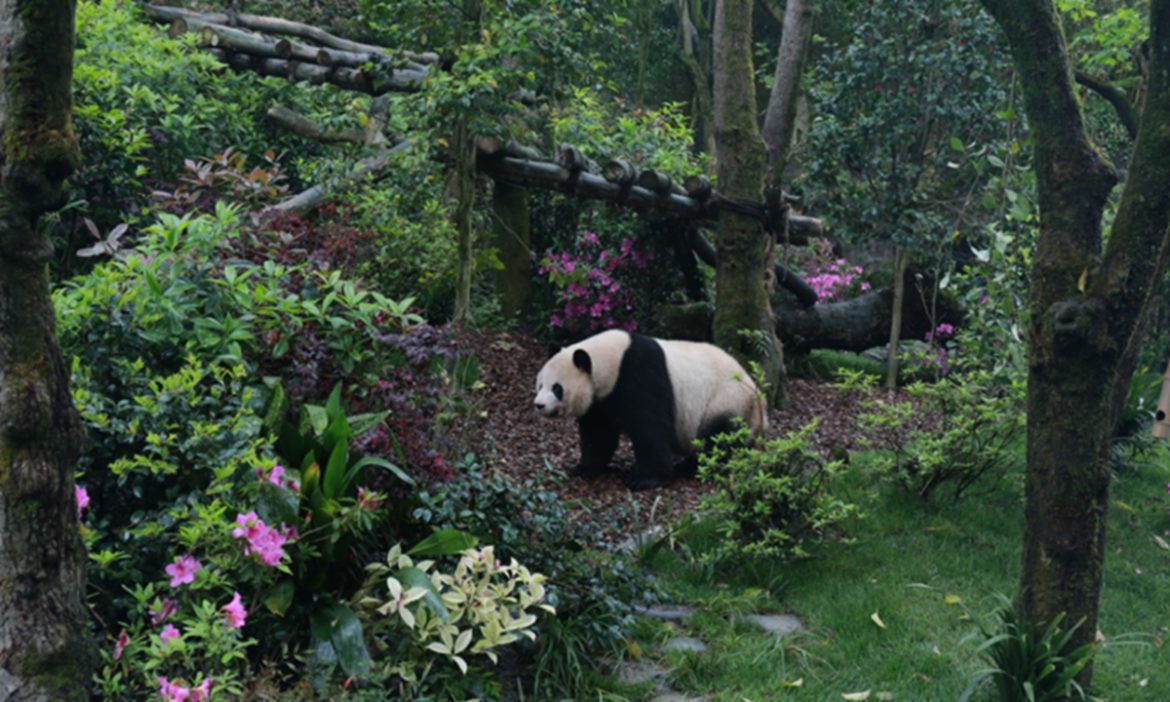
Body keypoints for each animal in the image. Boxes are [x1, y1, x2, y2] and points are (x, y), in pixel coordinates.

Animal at [533, 329, 767, 490]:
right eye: (540, 384)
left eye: (557, 388)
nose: (539, 405)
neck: (611, 360)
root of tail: (759, 401)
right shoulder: (600, 400)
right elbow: (598, 434)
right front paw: (584, 468)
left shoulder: (639, 375)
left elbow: (650, 428)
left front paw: (646, 480)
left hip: (726, 399)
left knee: (716, 436)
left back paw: (694, 467)